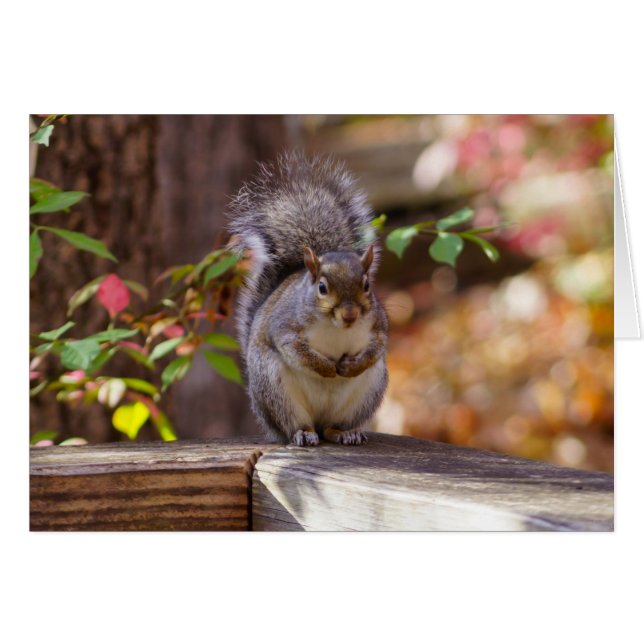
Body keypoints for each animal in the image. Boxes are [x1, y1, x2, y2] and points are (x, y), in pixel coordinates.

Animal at [227, 152, 388, 446]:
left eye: (367, 285)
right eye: (322, 287)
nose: (350, 314)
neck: (336, 327)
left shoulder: (378, 325)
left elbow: (377, 348)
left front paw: (351, 366)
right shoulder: (284, 325)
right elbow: (295, 349)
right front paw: (327, 368)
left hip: (366, 393)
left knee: (332, 427)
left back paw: (345, 433)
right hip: (275, 390)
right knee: (297, 425)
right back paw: (303, 433)